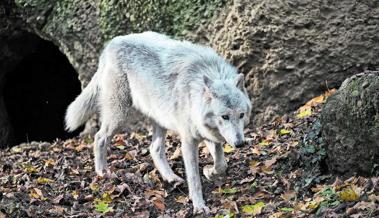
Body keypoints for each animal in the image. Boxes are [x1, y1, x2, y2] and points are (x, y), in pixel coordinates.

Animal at [66, 31, 252, 214]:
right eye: (225, 117)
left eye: (241, 115)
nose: (240, 144)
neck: (195, 91)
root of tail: (113, 43)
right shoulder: (189, 140)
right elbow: (194, 178)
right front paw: (199, 206)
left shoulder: (208, 133)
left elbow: (221, 163)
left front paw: (210, 172)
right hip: (119, 116)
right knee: (100, 137)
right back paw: (102, 172)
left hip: (159, 120)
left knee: (154, 149)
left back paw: (171, 178)